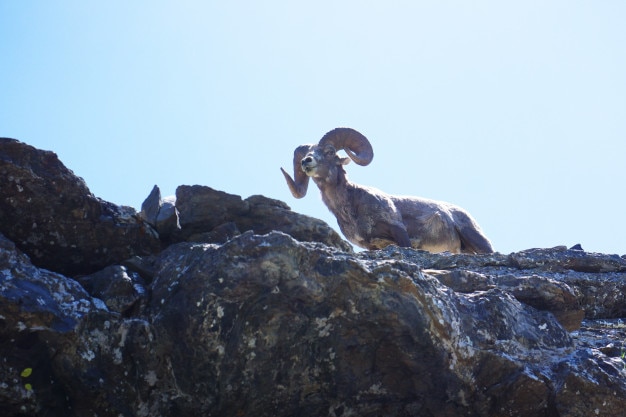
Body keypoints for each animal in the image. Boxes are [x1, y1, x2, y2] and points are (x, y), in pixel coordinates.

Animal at [282, 127, 492, 252]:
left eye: (329, 151)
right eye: (308, 153)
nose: (306, 161)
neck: (350, 209)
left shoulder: (398, 230)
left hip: (476, 239)